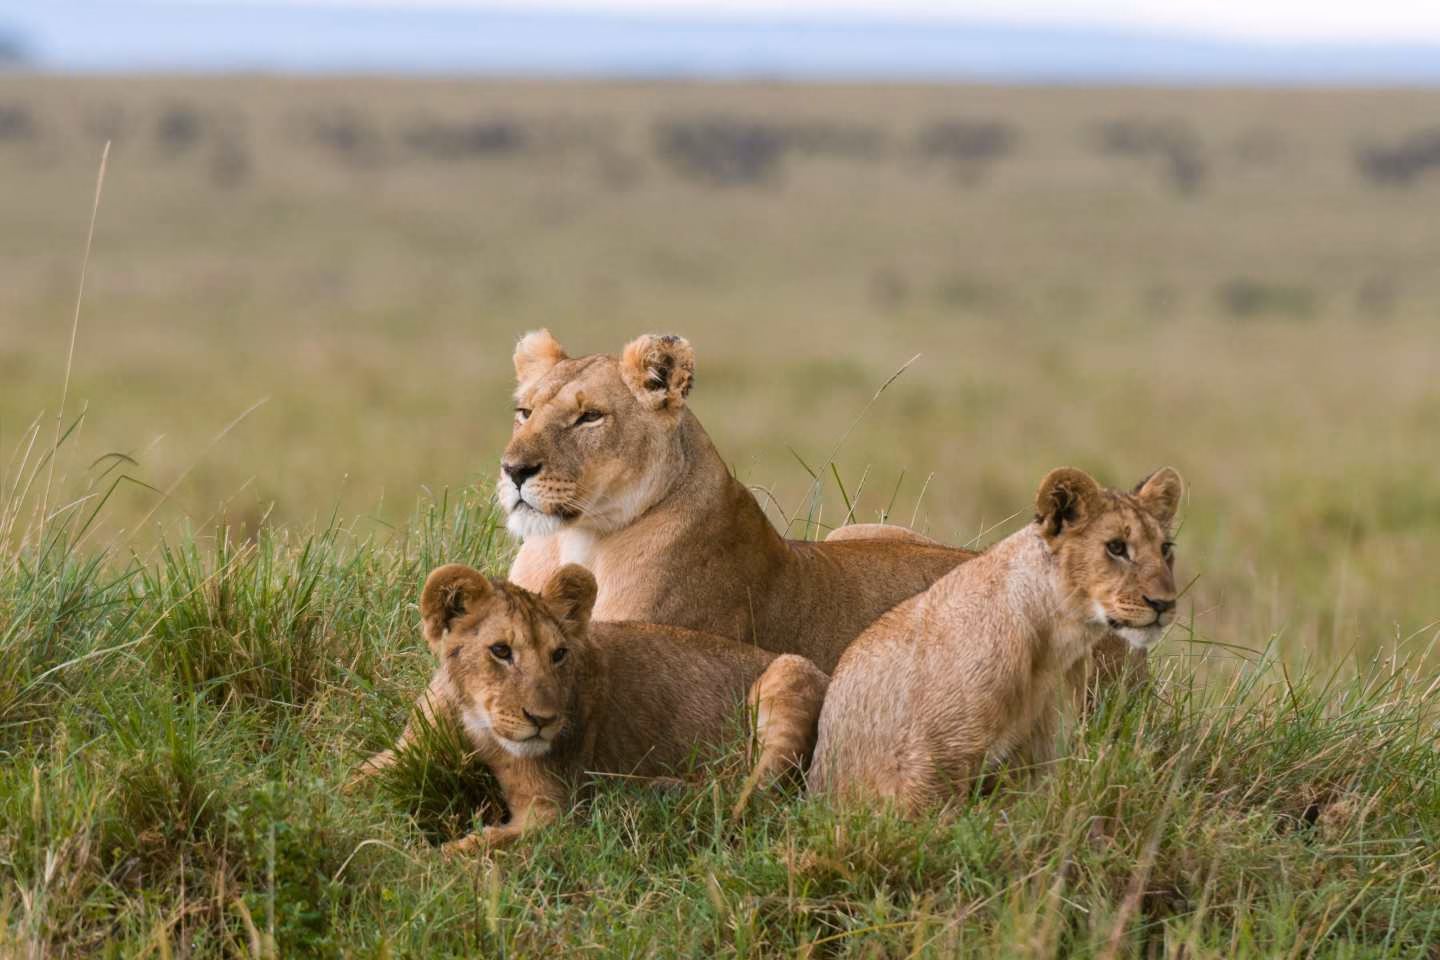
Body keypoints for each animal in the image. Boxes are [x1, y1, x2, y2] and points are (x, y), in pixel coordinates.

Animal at [353, 562, 829, 852]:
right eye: (501, 651)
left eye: (559, 654)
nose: (542, 721)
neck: (479, 721)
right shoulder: (402, 753)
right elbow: (348, 783)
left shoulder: (551, 812)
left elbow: (468, 850)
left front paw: (409, 856)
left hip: (790, 671)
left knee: (756, 798)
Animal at [808, 466, 1183, 814]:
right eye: (1116, 547)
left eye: (1165, 549)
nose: (1163, 604)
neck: (1055, 641)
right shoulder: (926, 765)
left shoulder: (1042, 761)